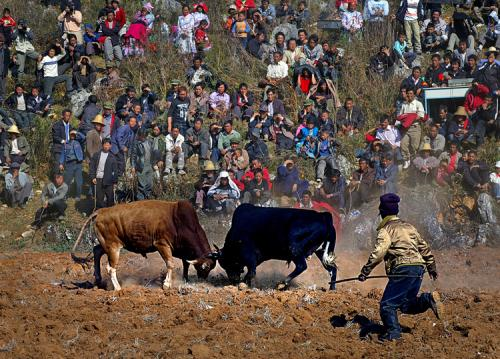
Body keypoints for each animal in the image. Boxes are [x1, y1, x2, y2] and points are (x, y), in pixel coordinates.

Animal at [71, 201, 216, 292]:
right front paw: (166, 284)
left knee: (96, 251)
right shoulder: (162, 244)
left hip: (106, 244)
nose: (203, 279)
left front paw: (184, 279)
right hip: (112, 247)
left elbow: (185, 264)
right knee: (110, 268)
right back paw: (118, 288)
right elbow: (170, 264)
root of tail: (101, 211)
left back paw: (98, 279)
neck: (179, 222)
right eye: (206, 267)